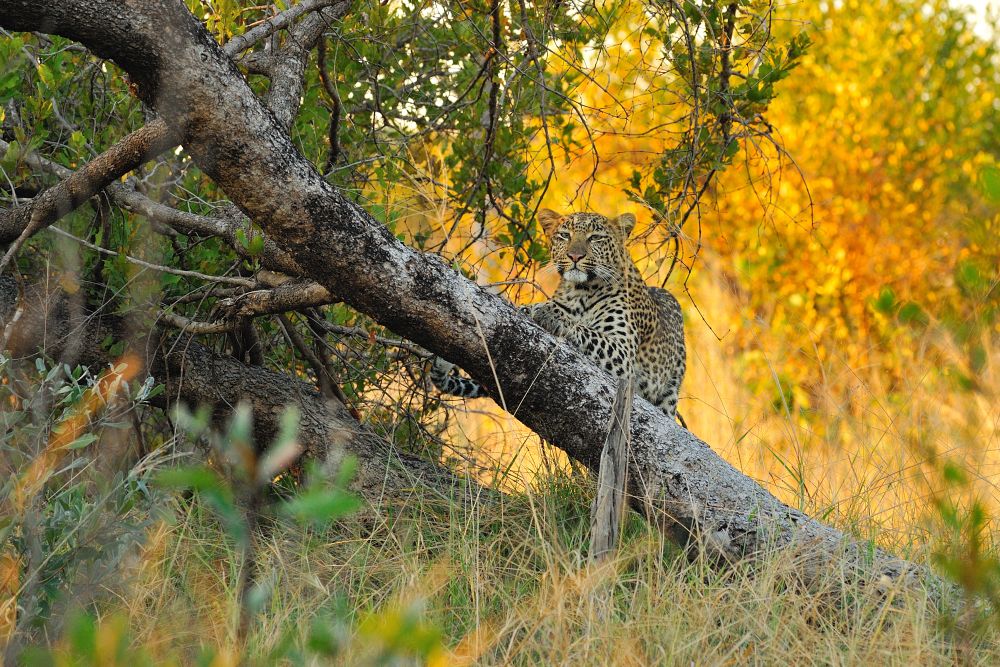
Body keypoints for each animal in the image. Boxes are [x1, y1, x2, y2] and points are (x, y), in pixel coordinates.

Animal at [430, 207, 688, 422]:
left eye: (595, 238)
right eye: (564, 235)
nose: (575, 256)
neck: (582, 291)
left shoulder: (623, 353)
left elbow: (586, 330)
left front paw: (548, 314)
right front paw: (529, 309)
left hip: (671, 388)